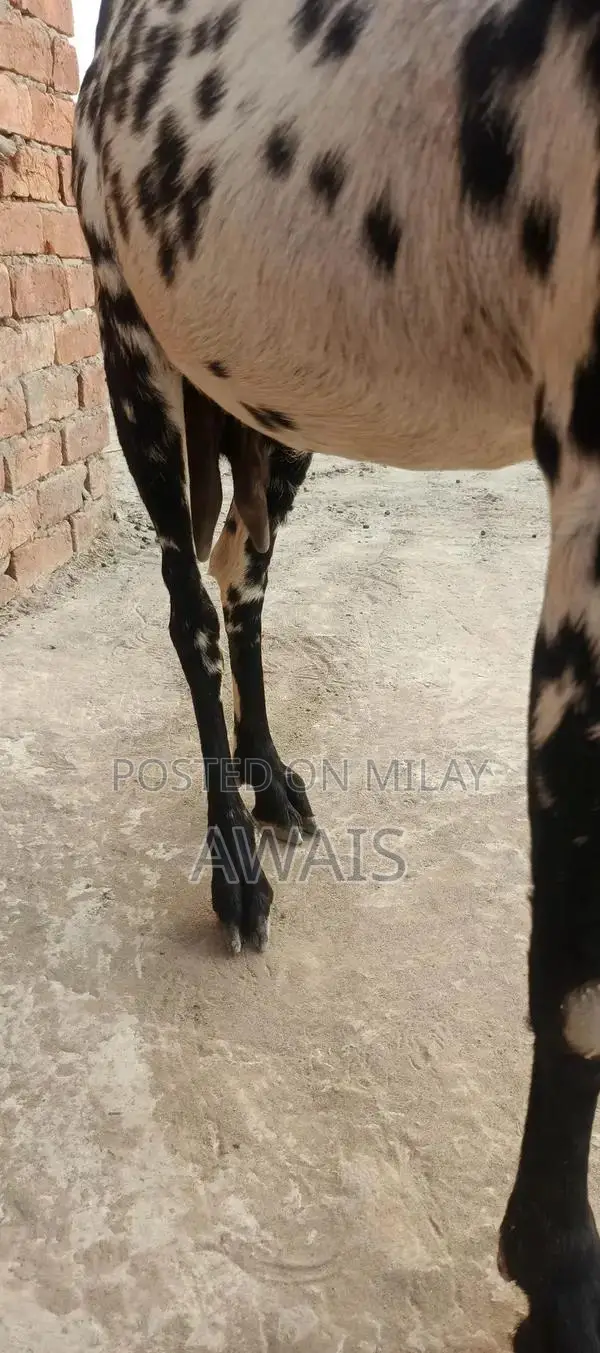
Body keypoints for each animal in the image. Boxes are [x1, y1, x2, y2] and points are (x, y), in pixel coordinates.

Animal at [73, 0, 600, 1345]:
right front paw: (556, 1275)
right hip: (135, 330)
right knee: (191, 605)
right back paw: (234, 867)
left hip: (273, 398)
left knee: (244, 572)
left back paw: (274, 782)